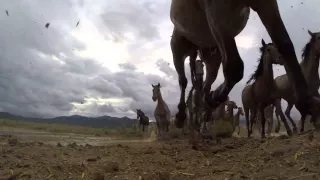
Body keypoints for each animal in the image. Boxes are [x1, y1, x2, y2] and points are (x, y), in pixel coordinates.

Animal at [169, 0, 318, 130]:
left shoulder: (266, 4)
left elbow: (285, 44)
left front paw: (307, 102)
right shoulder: (216, 9)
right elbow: (235, 67)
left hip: (212, 55)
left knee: (206, 85)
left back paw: (208, 105)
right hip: (179, 47)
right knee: (183, 80)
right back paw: (181, 116)